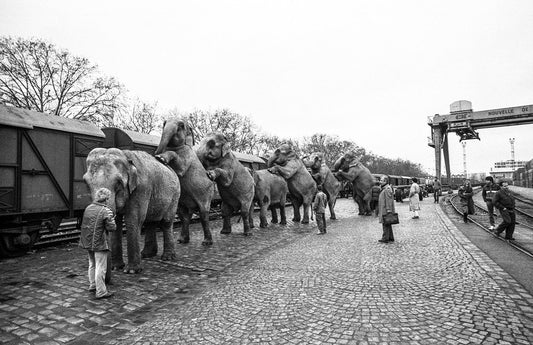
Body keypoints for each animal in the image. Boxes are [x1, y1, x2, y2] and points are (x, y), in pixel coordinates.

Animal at [154, 117, 214, 245]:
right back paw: (182, 240)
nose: (155, 154)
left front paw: (161, 158)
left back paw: (206, 242)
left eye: (181, 125)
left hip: (206, 194)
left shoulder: (187, 154)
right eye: (164, 123)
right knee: (184, 215)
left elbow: (180, 169)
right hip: (183, 201)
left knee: (203, 213)